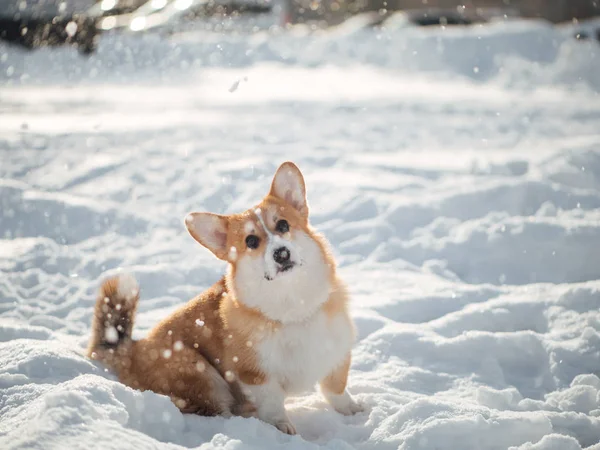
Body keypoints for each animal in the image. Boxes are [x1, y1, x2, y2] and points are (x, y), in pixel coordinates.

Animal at [87, 161, 364, 432]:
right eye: (251, 241)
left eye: (283, 225)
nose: (281, 253)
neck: (293, 304)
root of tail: (132, 351)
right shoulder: (253, 374)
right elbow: (272, 403)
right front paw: (282, 428)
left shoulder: (336, 351)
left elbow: (335, 387)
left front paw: (351, 411)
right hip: (197, 370)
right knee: (213, 409)